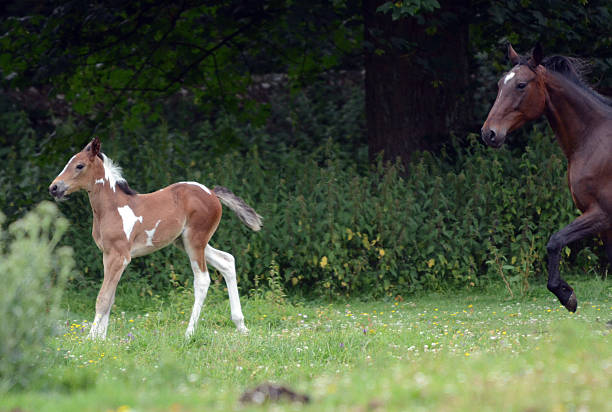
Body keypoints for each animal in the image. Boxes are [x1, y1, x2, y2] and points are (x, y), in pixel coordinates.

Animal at [49, 138, 262, 338]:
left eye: (79, 165)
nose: (54, 187)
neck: (111, 208)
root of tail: (211, 193)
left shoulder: (119, 256)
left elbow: (102, 298)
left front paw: (91, 339)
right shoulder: (107, 255)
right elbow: (110, 296)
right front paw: (102, 339)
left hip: (195, 240)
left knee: (202, 279)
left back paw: (189, 333)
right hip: (185, 242)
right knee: (227, 261)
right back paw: (241, 325)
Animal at [482, 43, 612, 310]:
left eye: (521, 85)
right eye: (500, 84)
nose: (489, 133)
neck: (594, 138)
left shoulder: (602, 213)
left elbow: (554, 241)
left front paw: (566, 294)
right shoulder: (604, 225)